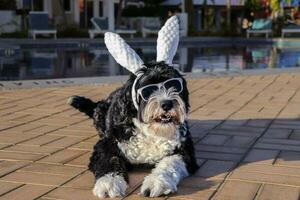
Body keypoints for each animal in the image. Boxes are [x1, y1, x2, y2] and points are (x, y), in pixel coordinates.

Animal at [69, 16, 198, 198]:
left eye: (175, 86)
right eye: (148, 89)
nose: (167, 103)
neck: (151, 132)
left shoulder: (184, 151)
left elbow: (170, 163)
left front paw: (157, 182)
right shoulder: (106, 144)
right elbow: (108, 160)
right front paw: (110, 182)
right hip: (100, 112)